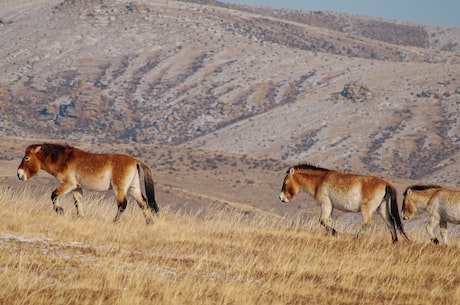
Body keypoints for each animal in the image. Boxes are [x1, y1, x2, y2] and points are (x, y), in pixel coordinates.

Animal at [17, 142, 160, 223]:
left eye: (27, 158)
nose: (19, 174)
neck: (64, 159)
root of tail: (135, 161)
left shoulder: (68, 184)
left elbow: (54, 195)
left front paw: (60, 210)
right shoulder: (77, 187)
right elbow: (78, 202)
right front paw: (80, 217)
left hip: (119, 189)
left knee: (122, 205)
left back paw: (115, 221)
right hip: (133, 188)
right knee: (143, 203)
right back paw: (149, 222)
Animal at [278, 164, 408, 242]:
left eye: (285, 182)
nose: (281, 198)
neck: (320, 180)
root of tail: (386, 183)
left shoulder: (326, 204)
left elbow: (322, 220)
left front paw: (336, 233)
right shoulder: (330, 207)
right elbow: (328, 221)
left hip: (367, 209)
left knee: (367, 223)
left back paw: (356, 238)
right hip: (381, 208)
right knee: (390, 222)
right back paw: (394, 241)